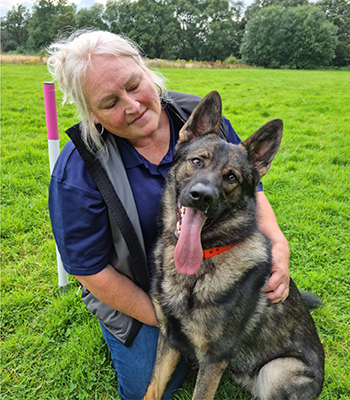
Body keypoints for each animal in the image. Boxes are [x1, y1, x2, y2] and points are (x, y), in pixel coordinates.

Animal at [144, 91, 324, 400]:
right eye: (197, 162)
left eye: (231, 178)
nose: (202, 196)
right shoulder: (169, 340)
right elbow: (152, 387)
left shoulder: (213, 360)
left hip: (275, 371)